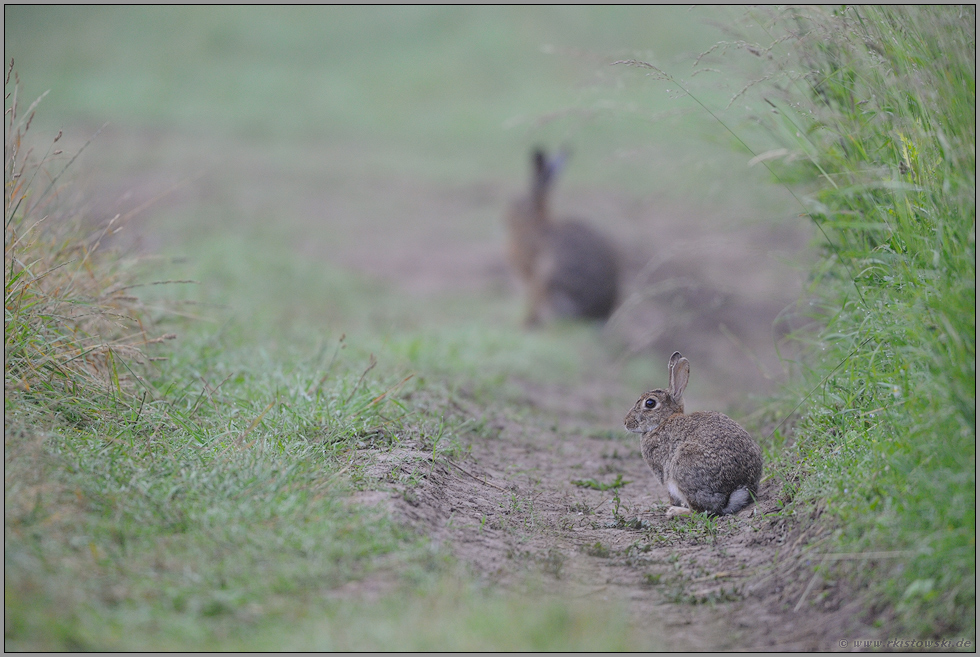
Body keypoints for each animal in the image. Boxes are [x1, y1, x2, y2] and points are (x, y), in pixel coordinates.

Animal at [510, 147, 616, 326]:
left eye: (519, 204)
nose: (504, 217)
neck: (534, 223)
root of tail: (597, 313)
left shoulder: (531, 273)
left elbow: (531, 299)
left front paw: (525, 323)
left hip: (549, 276)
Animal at [624, 352, 760, 516]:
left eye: (650, 403)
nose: (626, 422)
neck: (663, 421)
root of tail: (732, 493)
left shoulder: (663, 472)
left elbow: (671, 496)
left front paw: (667, 506)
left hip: (684, 465)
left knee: (700, 510)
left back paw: (676, 511)